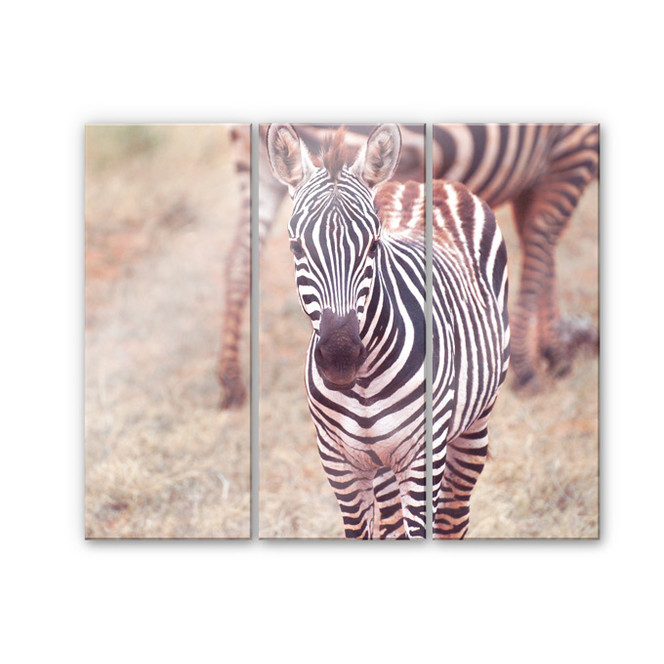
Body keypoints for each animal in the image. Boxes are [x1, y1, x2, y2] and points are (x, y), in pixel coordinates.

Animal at [218, 123, 597, 406]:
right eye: (296, 247)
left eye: (373, 245)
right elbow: (540, 243)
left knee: (239, 261)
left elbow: (540, 249)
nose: (340, 355)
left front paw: (553, 349)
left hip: (258, 168)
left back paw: (231, 382)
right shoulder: (575, 151)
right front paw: (534, 363)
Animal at [266, 123, 510, 539]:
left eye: (374, 245)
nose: (341, 356)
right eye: (297, 248)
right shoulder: (339, 462)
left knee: (454, 516)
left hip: (475, 421)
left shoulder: (423, 456)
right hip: (381, 466)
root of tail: (422, 183)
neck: (363, 383)